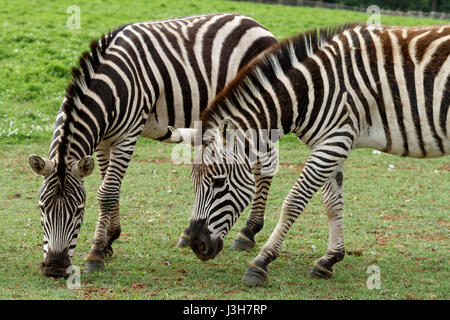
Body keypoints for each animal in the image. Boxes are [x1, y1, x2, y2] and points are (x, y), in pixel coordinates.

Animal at [28, 13, 278, 278]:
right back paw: (189, 234)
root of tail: (254, 22)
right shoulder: (104, 140)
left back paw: (248, 232)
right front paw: (109, 240)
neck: (112, 86)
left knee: (266, 166)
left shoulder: (127, 136)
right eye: (42, 207)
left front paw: (96, 253)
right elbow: (109, 186)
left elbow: (107, 193)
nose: (55, 267)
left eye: (78, 209)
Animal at [171, 23, 448, 286]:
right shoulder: (331, 143)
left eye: (219, 183)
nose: (197, 245)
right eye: (193, 183)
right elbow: (333, 204)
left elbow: (293, 202)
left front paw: (261, 262)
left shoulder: (333, 142)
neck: (312, 91)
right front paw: (329, 260)